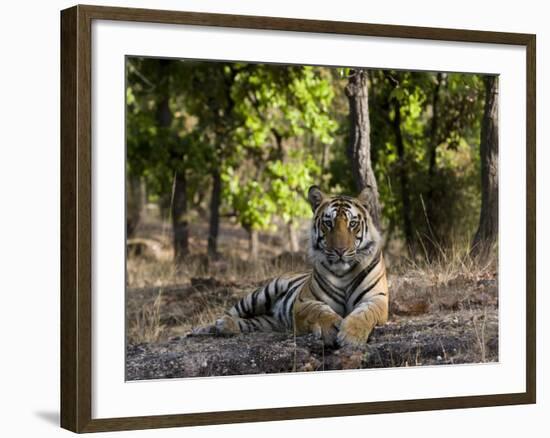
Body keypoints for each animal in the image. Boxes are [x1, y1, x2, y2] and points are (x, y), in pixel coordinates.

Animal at [196, 185, 390, 346]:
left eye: (353, 224)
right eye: (328, 223)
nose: (340, 251)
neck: (343, 273)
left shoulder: (376, 299)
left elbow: (363, 314)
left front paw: (351, 336)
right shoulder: (304, 301)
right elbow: (319, 311)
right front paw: (332, 327)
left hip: (270, 322)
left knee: (251, 322)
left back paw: (225, 326)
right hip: (260, 294)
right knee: (231, 312)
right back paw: (209, 327)